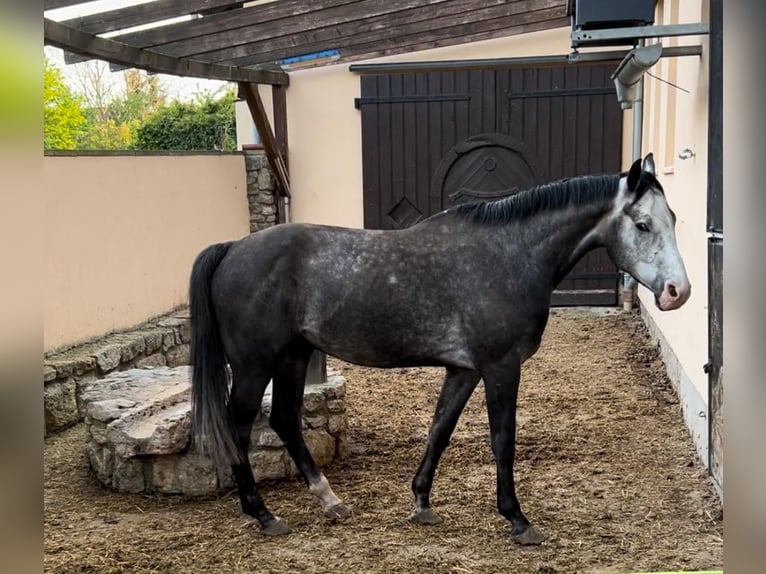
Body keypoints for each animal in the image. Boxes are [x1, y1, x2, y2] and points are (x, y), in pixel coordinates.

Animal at [188, 153, 690, 546]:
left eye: (674, 219)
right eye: (643, 224)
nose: (677, 292)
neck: (509, 254)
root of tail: (232, 247)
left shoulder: (463, 370)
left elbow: (439, 431)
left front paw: (421, 503)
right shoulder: (500, 367)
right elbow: (502, 439)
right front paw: (517, 519)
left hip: (293, 356)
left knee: (285, 421)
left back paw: (330, 500)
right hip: (254, 365)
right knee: (240, 427)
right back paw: (262, 514)